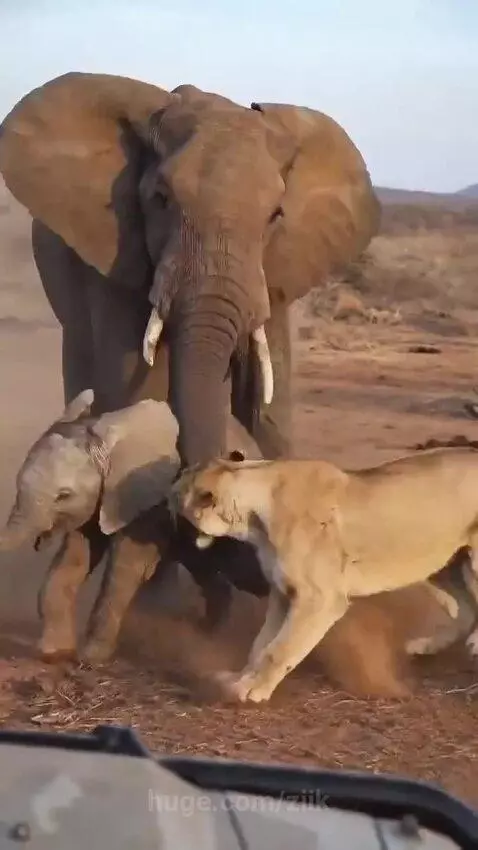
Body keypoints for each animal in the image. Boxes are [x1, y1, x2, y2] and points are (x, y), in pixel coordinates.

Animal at [170, 448, 478, 703]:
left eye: (176, 496)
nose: (166, 501)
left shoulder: (318, 599)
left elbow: (278, 650)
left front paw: (252, 689)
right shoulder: (283, 593)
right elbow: (260, 645)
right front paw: (239, 679)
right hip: (443, 564)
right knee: (463, 610)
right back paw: (426, 645)